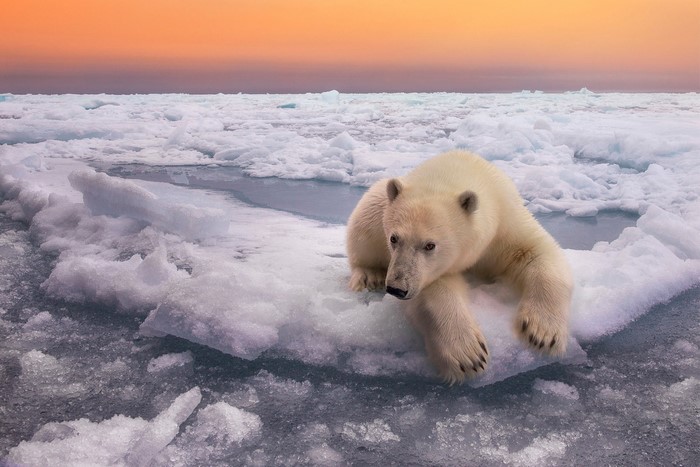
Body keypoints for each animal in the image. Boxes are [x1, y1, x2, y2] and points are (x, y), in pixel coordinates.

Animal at [346, 150, 573, 384]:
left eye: (430, 245)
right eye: (394, 238)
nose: (396, 288)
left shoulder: (507, 222)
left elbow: (536, 253)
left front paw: (542, 333)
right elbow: (436, 289)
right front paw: (469, 355)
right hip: (376, 208)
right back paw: (369, 275)